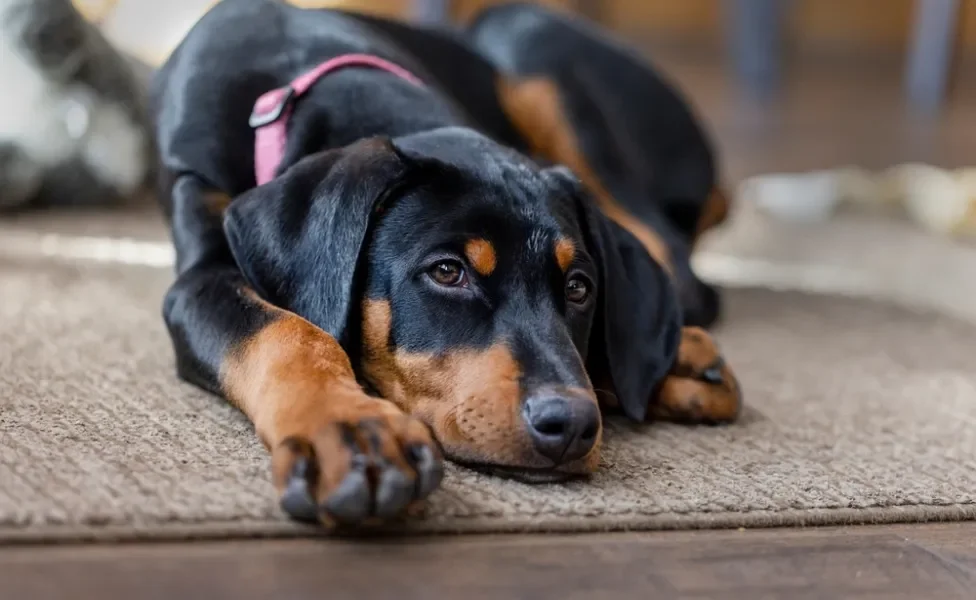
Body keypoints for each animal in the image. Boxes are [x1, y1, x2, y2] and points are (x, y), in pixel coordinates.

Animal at [151, 0, 740, 528]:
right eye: (447, 272)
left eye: (578, 287)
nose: (570, 423)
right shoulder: (199, 268)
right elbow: (286, 330)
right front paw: (352, 432)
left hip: (527, 35)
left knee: (680, 266)